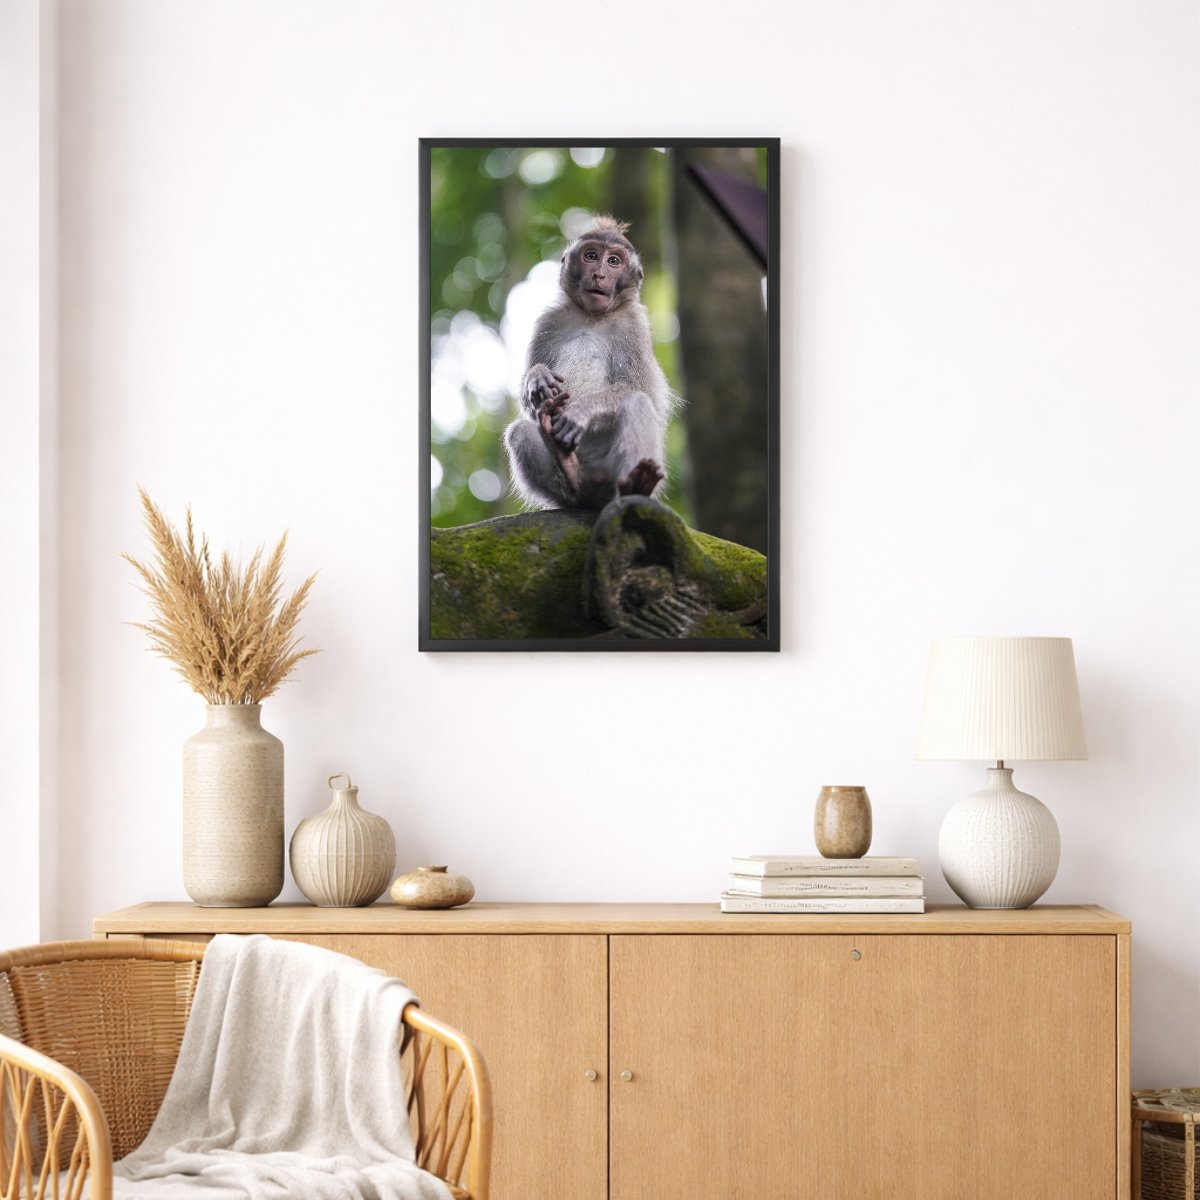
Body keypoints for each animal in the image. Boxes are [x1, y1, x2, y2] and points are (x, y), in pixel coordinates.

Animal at [504, 216, 676, 511]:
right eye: (591, 256)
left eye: (614, 261)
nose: (599, 275)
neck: (592, 317)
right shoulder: (549, 322)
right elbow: (529, 405)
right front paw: (537, 377)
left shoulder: (634, 326)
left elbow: (641, 390)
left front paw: (582, 411)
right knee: (519, 431)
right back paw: (571, 476)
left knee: (637, 402)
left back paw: (638, 486)